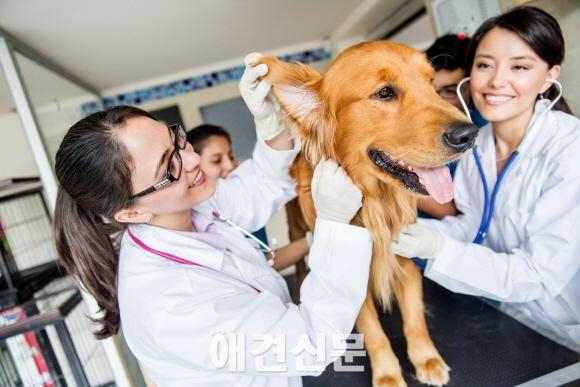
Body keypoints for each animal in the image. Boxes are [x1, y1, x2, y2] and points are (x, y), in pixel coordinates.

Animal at [256, 40, 478, 387]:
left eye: (431, 84)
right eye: (385, 92)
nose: (469, 135)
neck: (375, 202)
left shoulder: (403, 253)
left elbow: (414, 317)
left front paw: (426, 358)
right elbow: (373, 332)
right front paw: (388, 375)